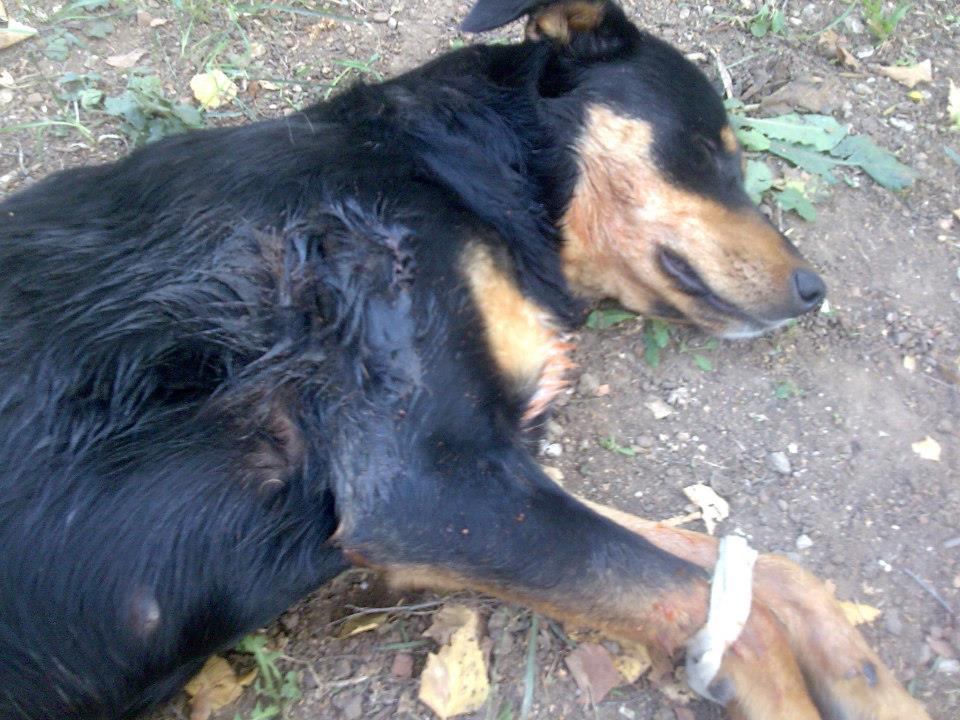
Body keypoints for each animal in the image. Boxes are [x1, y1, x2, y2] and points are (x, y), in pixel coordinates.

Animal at [0, 0, 929, 718]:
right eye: (709, 152)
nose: (815, 289)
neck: (453, 169)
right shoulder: (424, 482)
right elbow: (740, 622)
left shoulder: (475, 473)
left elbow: (769, 578)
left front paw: (874, 687)